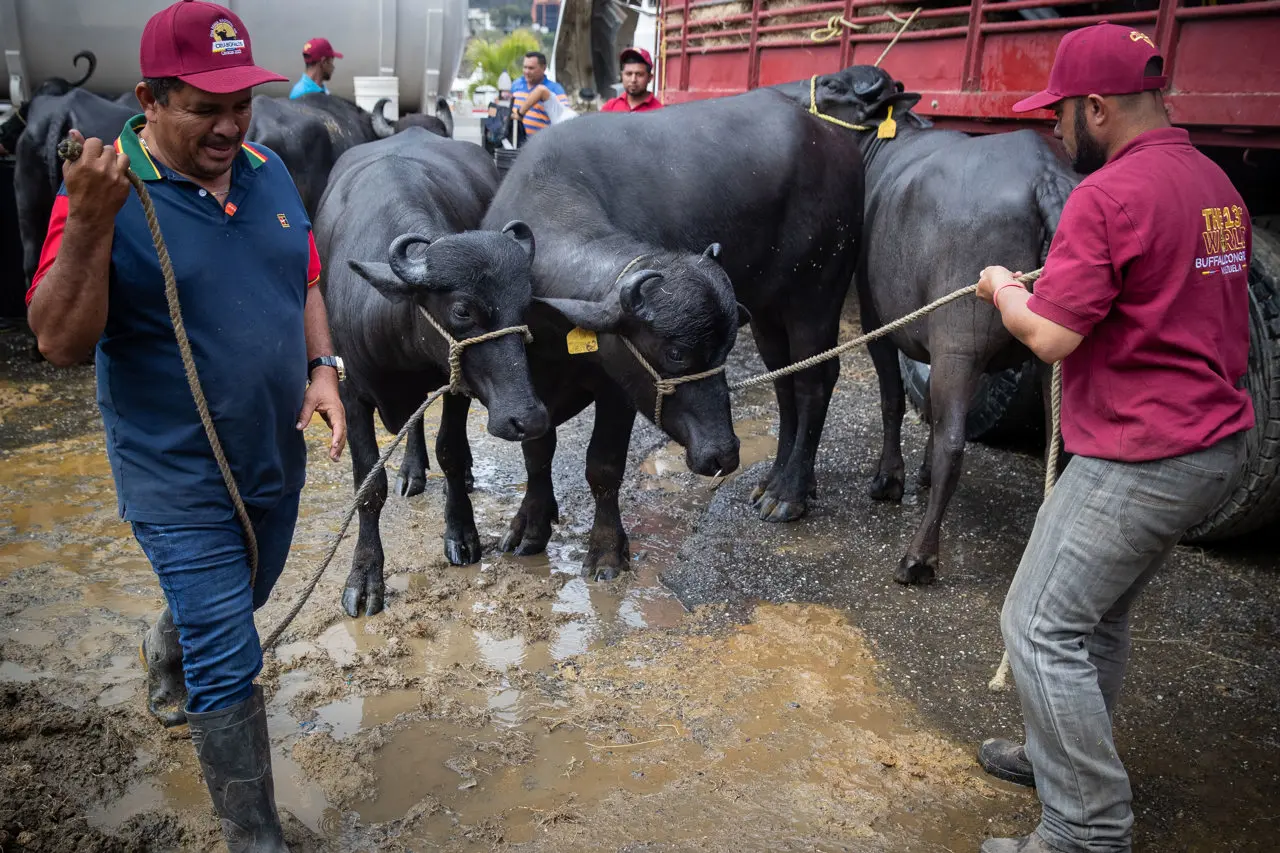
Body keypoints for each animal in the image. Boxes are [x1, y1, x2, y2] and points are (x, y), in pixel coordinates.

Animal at [315, 127, 548, 617]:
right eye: (462, 309)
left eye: (526, 304)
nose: (530, 418)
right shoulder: (352, 395)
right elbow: (369, 486)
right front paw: (364, 577)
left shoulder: (457, 385)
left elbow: (451, 453)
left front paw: (461, 534)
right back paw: (411, 471)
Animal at [777, 65, 1078, 584]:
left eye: (834, 86)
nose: (788, 96)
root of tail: (1045, 176)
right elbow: (931, 412)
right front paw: (917, 471)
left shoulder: (880, 320)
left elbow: (894, 399)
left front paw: (888, 478)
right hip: (1044, 354)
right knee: (1056, 445)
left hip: (961, 342)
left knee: (956, 445)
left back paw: (918, 557)